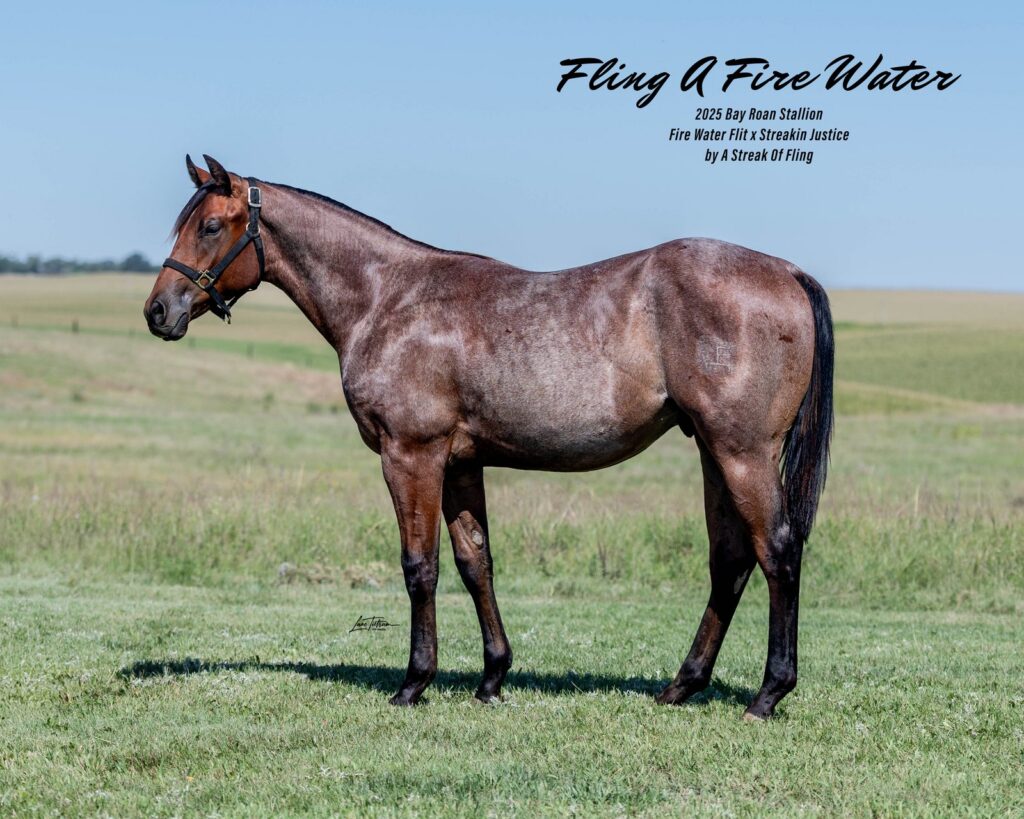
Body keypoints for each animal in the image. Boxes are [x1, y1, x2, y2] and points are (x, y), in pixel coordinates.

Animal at [144, 154, 833, 720]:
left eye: (211, 226)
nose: (158, 311)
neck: (387, 299)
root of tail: (788, 271)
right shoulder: (458, 465)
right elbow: (477, 563)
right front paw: (493, 678)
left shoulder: (411, 456)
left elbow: (419, 567)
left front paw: (414, 682)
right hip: (714, 452)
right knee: (731, 561)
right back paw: (681, 685)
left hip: (742, 453)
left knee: (777, 551)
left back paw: (769, 693)